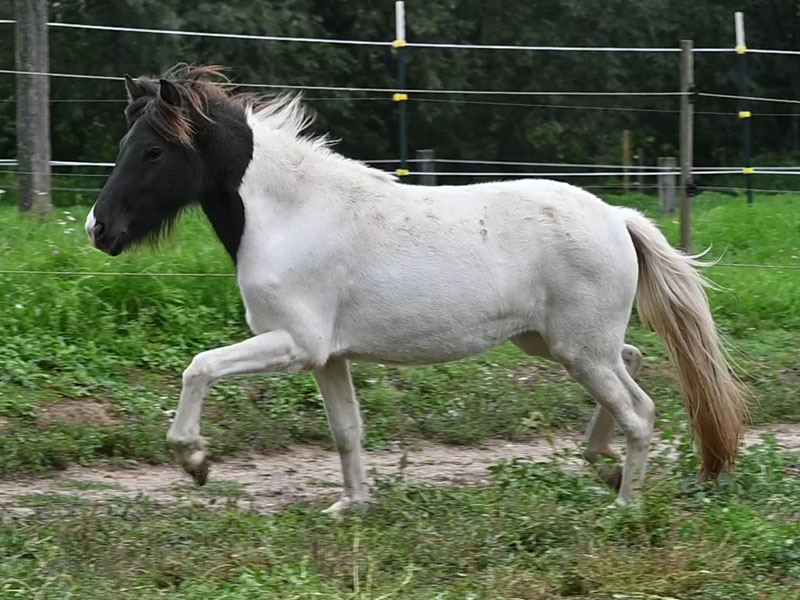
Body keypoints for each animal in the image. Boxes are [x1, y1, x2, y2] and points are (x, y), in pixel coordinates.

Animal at [85, 65, 748, 514]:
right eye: (123, 145)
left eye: (152, 151)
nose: (99, 229)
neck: (291, 215)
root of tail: (618, 217)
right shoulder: (327, 357)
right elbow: (346, 430)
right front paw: (351, 506)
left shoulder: (295, 343)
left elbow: (198, 367)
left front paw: (195, 461)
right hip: (557, 343)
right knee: (631, 363)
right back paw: (602, 465)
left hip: (578, 349)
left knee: (641, 411)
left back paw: (624, 505)